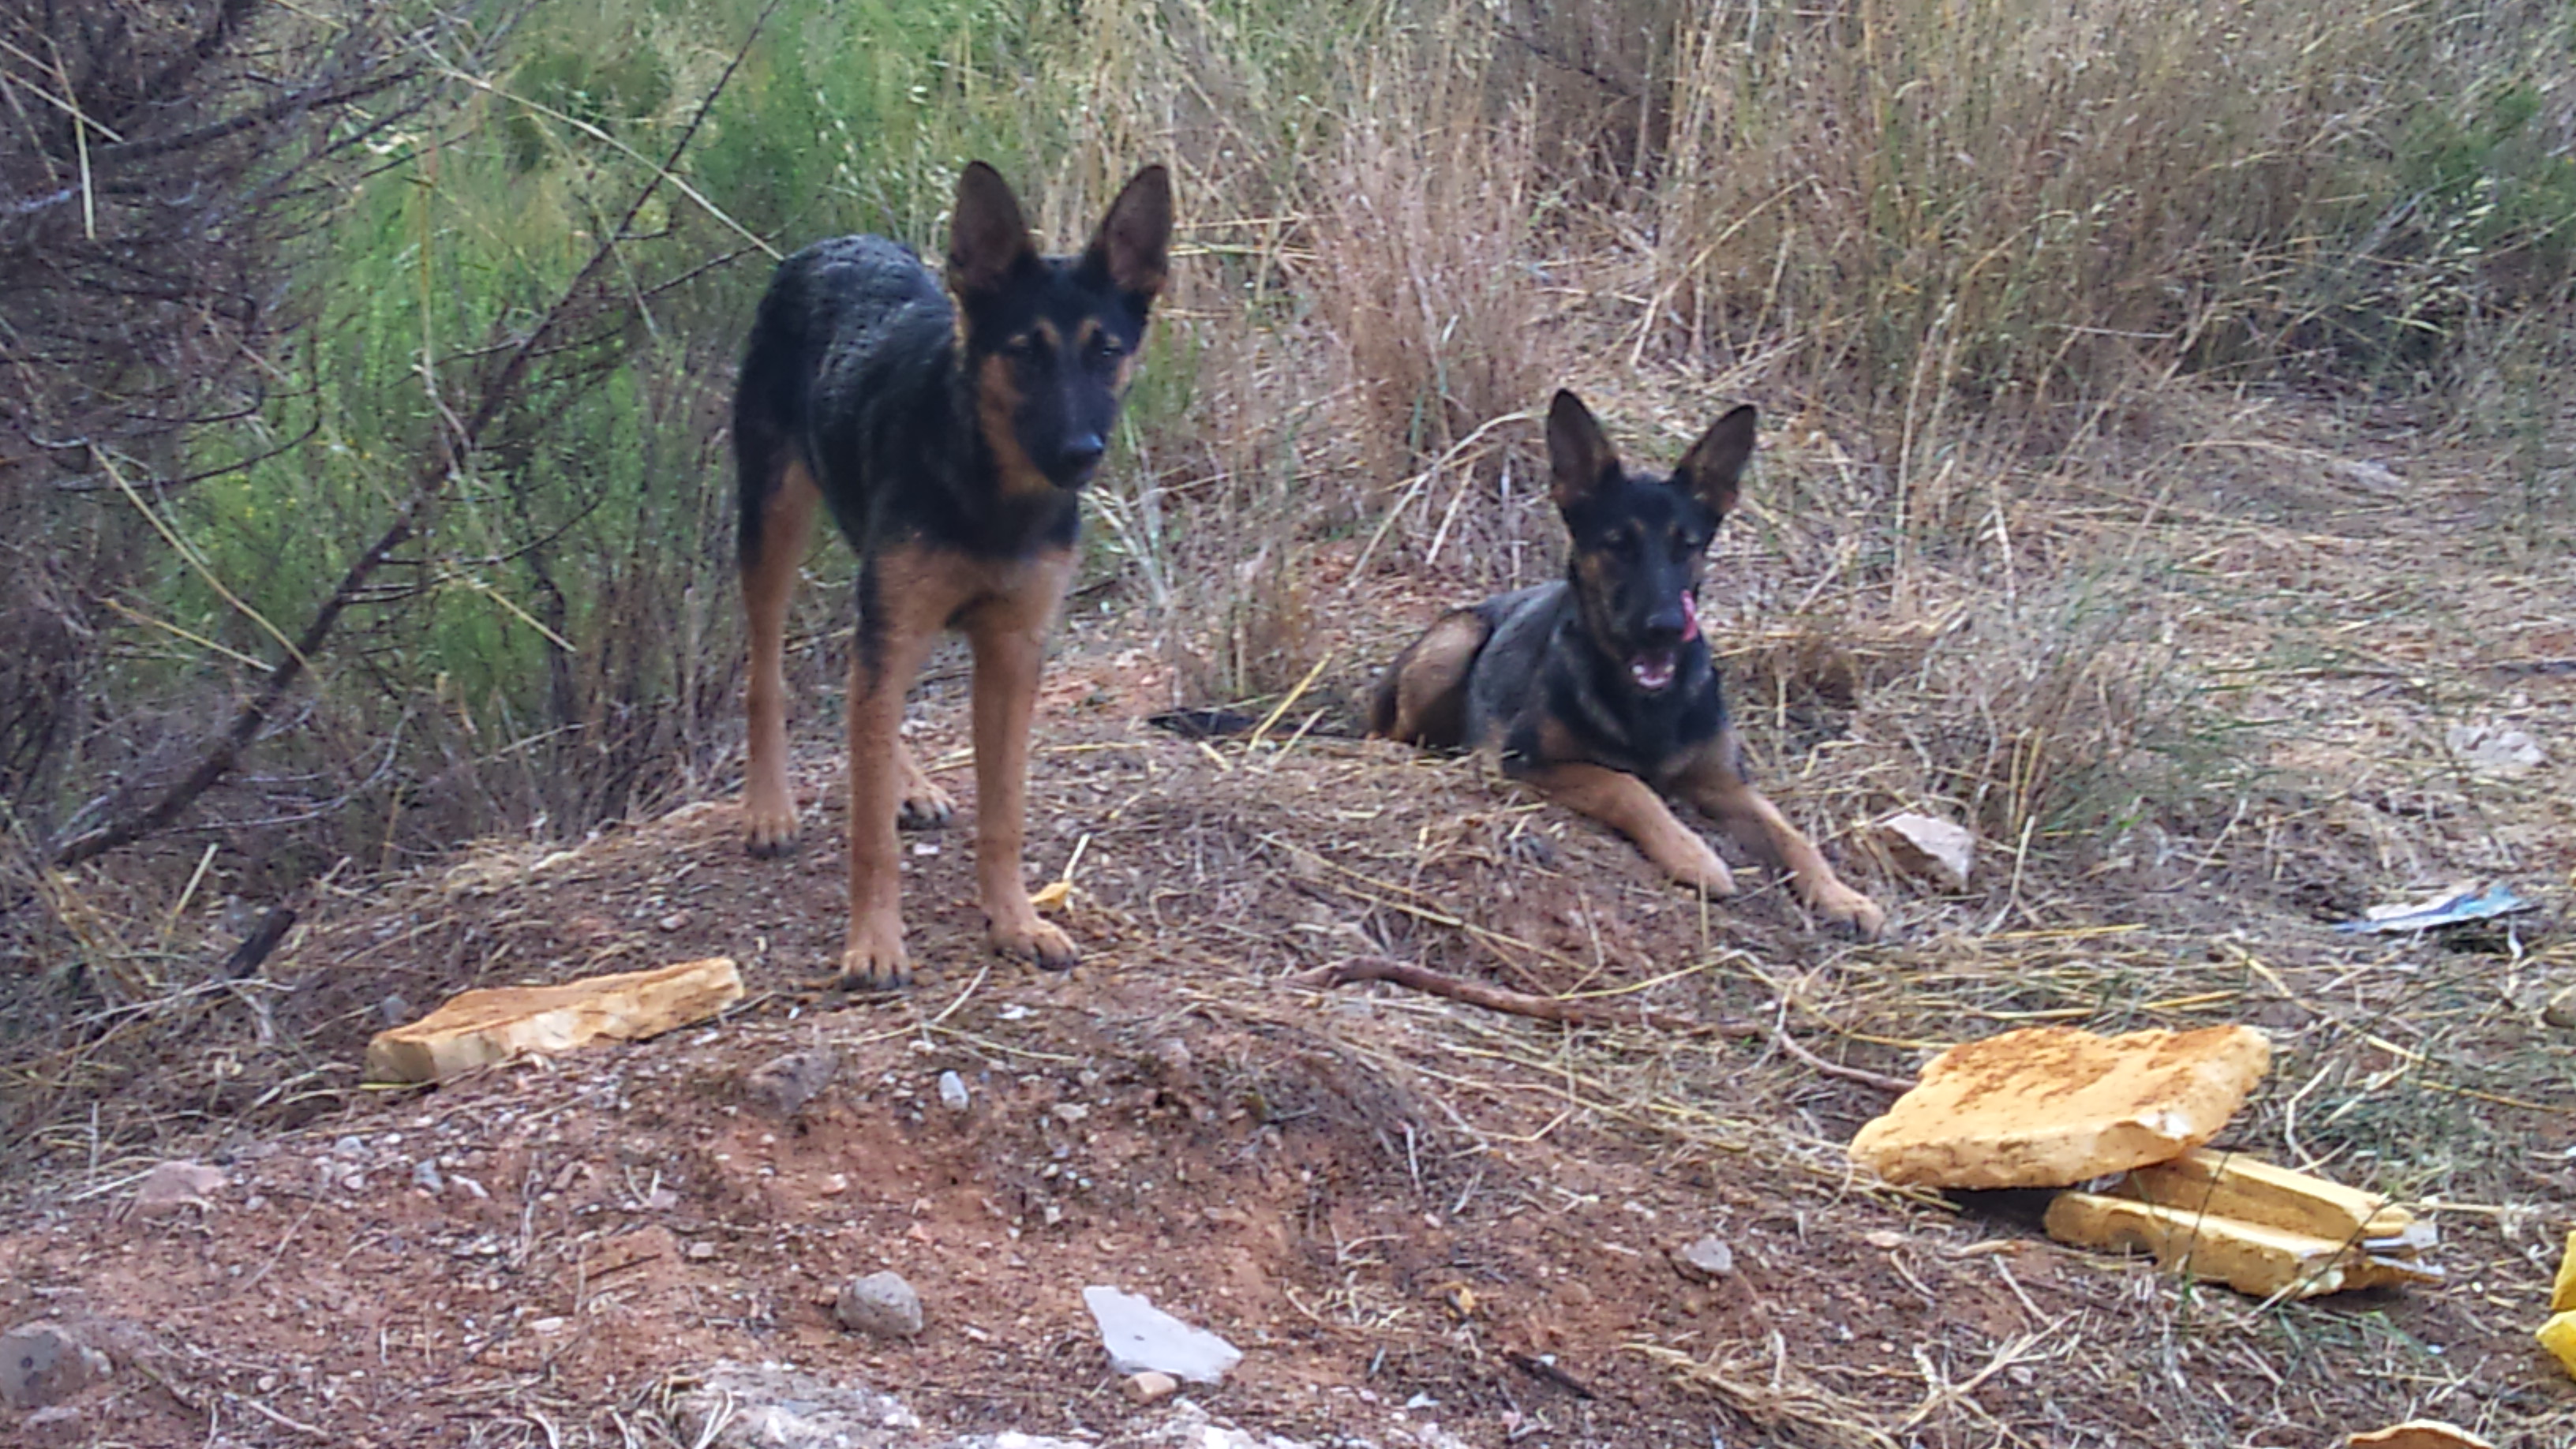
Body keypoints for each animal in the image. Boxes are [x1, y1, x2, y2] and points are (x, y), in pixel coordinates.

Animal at [726, 163, 1169, 984]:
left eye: (1105, 351)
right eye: (1025, 352)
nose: (1079, 453)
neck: (990, 491)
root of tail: (832, 242)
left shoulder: (1012, 652)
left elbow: (1004, 812)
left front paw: (1015, 921)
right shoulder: (899, 621)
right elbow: (870, 833)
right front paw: (874, 942)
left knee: (864, 700)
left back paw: (908, 783)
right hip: (772, 524)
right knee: (768, 676)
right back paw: (768, 808)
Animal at [1370, 389, 1896, 938]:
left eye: (1687, 545)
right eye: (1618, 544)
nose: (1665, 627)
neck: (1648, 705)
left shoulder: (1727, 784)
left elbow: (1794, 836)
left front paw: (1842, 896)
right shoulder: (1528, 760)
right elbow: (1628, 787)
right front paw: (1693, 855)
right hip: (1454, 643)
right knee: (1391, 731)